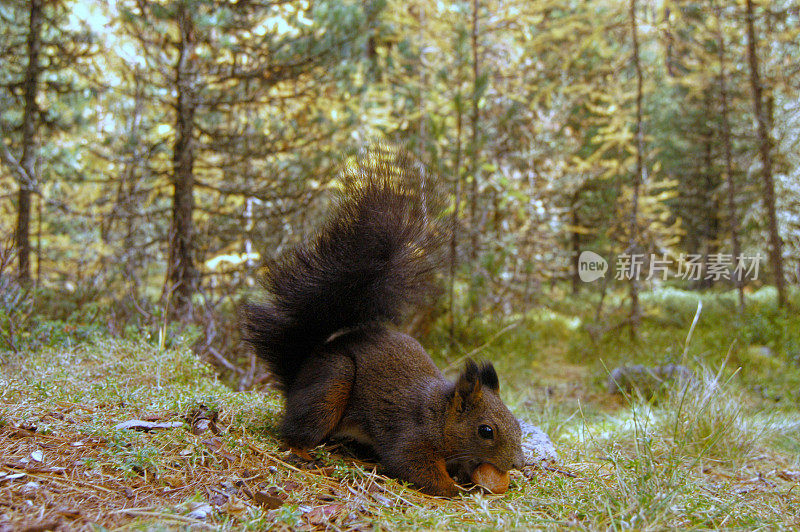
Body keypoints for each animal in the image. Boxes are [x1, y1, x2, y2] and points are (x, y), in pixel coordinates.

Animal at [244, 149, 524, 494]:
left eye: (517, 423)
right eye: (486, 431)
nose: (518, 464)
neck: (439, 415)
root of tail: (299, 373)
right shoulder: (410, 437)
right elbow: (413, 465)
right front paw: (455, 489)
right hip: (332, 383)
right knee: (295, 431)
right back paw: (308, 455)